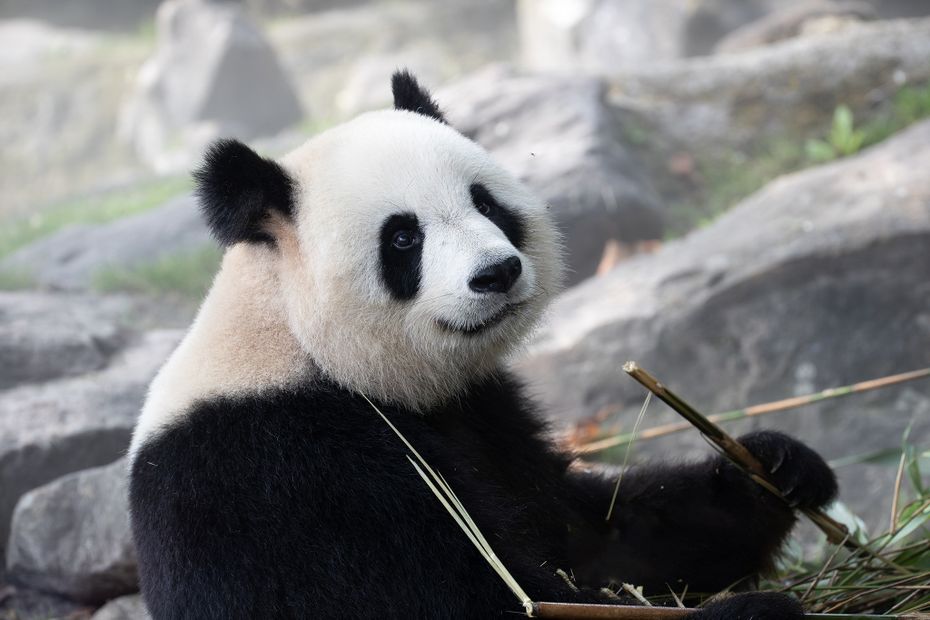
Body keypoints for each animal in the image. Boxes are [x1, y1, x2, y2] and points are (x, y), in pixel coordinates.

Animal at [128, 71, 837, 619]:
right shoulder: (283, 472)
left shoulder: (485, 413)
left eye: (486, 203)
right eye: (403, 238)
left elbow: (600, 536)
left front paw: (775, 466)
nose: (497, 273)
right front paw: (757, 609)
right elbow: (471, 595)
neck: (298, 343)